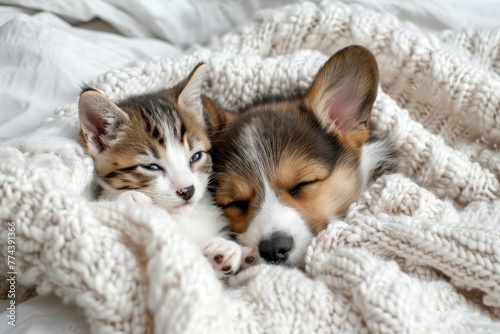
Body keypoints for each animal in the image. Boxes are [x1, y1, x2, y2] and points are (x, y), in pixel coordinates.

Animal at [78, 64, 254, 278]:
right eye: (152, 166)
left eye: (195, 157)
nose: (187, 190)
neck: (182, 216)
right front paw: (131, 200)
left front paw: (222, 251)